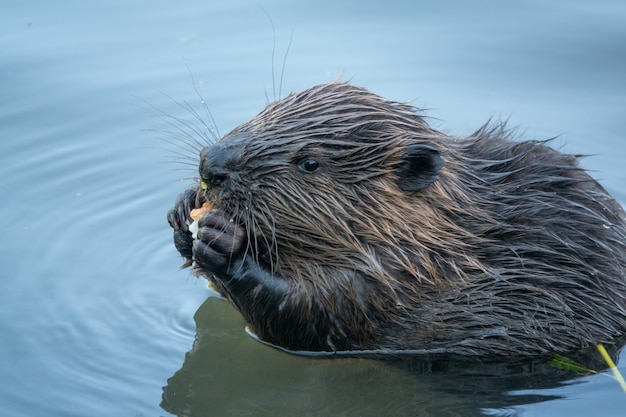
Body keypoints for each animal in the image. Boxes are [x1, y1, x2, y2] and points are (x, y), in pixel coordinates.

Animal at [165, 81, 624, 358]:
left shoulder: (394, 287)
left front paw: (220, 240)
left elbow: (310, 316)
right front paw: (185, 208)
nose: (211, 165)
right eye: (266, 110)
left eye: (309, 162)